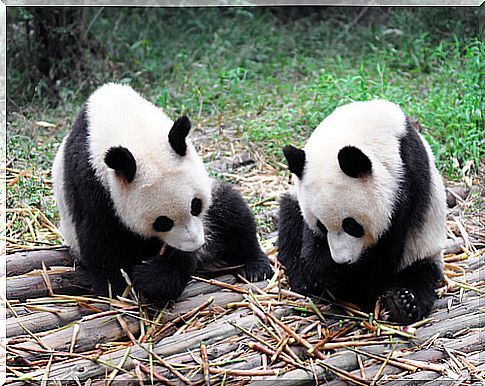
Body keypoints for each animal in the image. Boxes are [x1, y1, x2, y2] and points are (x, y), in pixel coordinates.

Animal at [54, 83, 272, 304]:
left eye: (196, 205)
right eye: (163, 222)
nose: (195, 245)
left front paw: (152, 277)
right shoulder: (91, 181)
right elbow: (101, 238)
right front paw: (118, 289)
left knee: (232, 212)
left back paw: (256, 267)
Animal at [276, 99, 446, 322]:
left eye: (352, 225)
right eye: (321, 226)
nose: (342, 261)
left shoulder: (406, 181)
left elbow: (384, 255)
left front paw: (356, 287)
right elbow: (311, 252)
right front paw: (326, 276)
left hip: (425, 245)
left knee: (421, 275)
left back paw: (404, 302)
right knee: (289, 224)